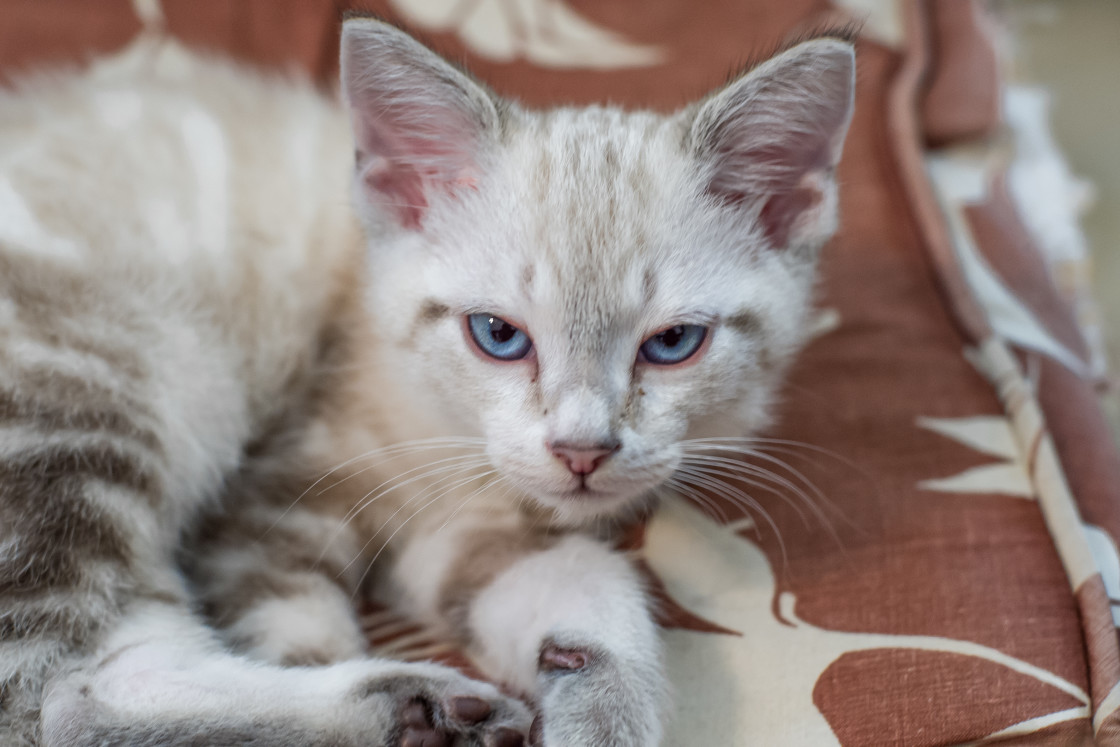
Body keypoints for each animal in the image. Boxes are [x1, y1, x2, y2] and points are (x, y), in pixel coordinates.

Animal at [0, 17, 851, 747]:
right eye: (499, 335)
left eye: (673, 343)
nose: (581, 450)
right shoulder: (272, 496)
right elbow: (292, 624)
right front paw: (332, 660)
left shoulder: (462, 525)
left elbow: (581, 579)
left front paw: (606, 704)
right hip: (108, 388)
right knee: (67, 695)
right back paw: (408, 701)